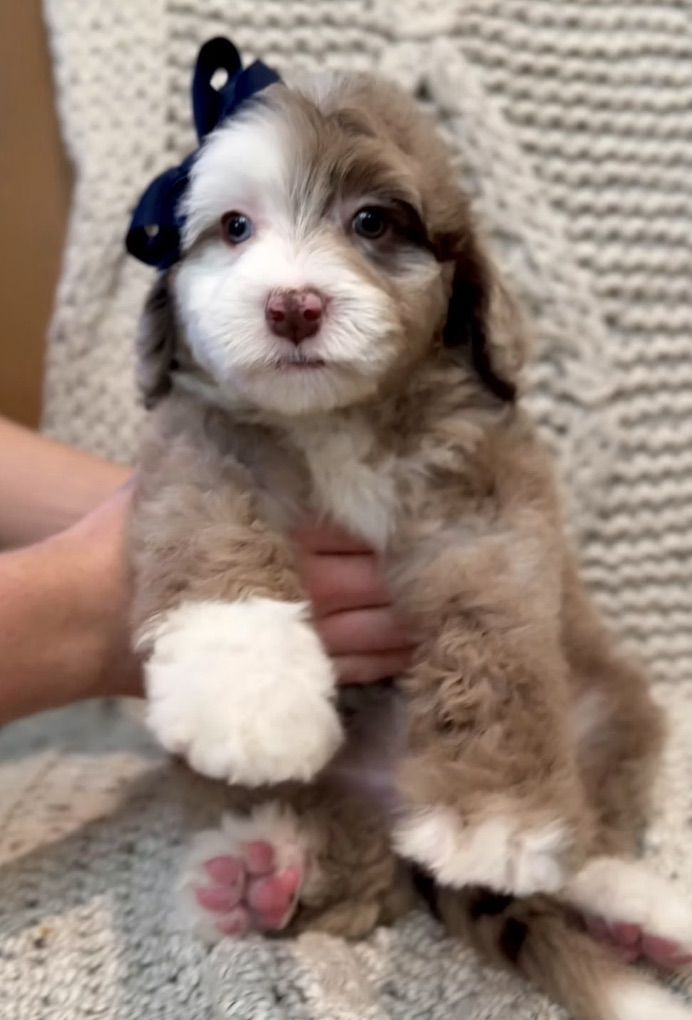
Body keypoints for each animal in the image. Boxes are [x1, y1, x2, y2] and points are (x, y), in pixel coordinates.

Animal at [127, 40, 692, 1020]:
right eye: (234, 228)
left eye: (372, 223)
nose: (293, 306)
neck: (337, 417)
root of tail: (389, 799)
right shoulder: (198, 432)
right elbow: (202, 515)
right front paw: (241, 684)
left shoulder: (487, 503)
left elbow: (491, 624)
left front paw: (496, 812)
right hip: (315, 805)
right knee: (358, 873)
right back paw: (260, 875)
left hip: (614, 712)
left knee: (579, 848)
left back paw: (637, 908)